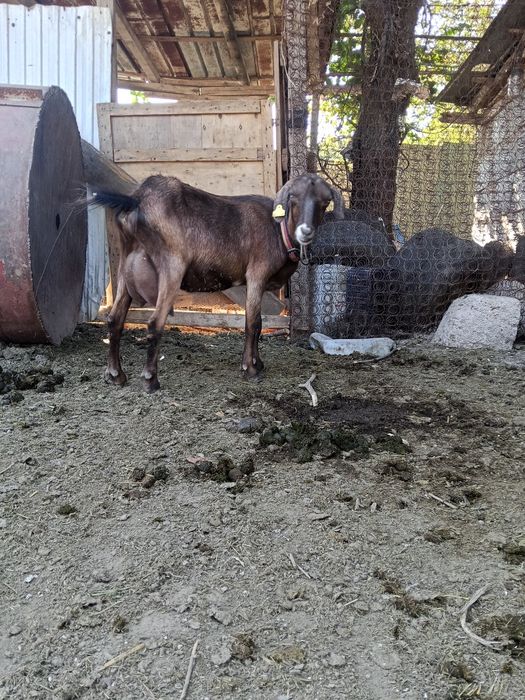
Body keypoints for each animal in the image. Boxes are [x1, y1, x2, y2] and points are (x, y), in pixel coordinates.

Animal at [92, 174, 343, 392]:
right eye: (293, 199)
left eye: (325, 202)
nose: (306, 231)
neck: (278, 230)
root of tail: (136, 200)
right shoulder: (256, 274)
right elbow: (254, 323)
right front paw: (250, 369)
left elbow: (257, 322)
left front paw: (258, 363)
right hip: (171, 267)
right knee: (154, 323)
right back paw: (150, 380)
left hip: (125, 267)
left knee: (114, 319)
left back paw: (115, 375)